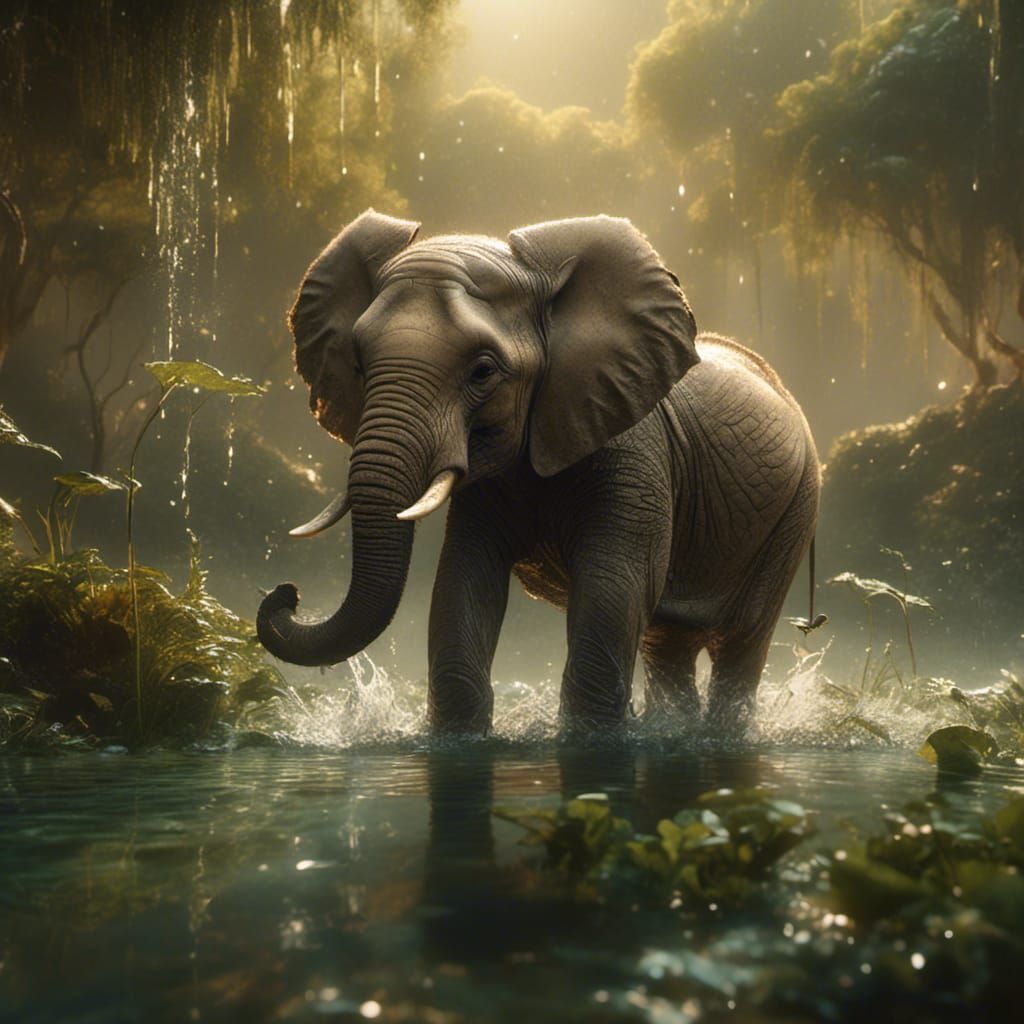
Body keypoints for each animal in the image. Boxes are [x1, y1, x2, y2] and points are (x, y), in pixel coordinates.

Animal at [257, 209, 820, 734]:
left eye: (483, 371)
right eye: (357, 363)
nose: (286, 593)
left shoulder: (636, 452)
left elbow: (614, 588)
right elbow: (463, 580)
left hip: (796, 509)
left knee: (742, 640)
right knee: (669, 643)